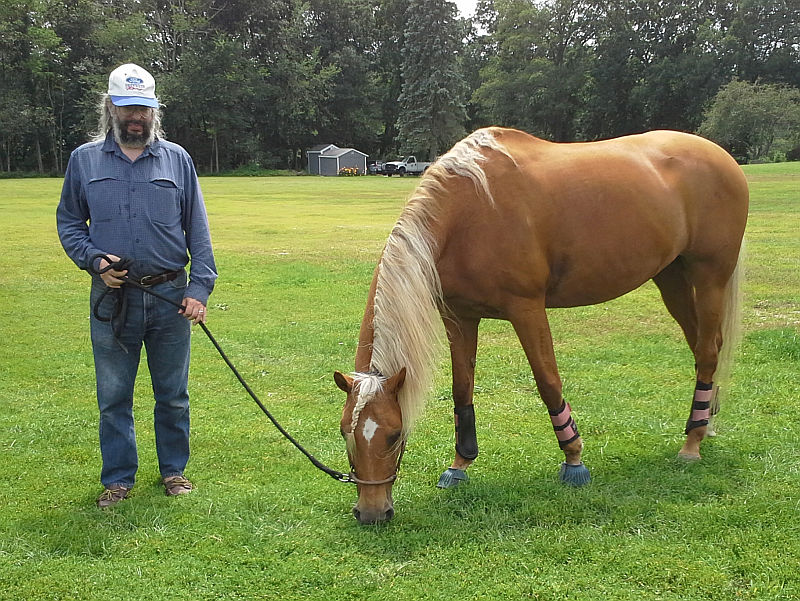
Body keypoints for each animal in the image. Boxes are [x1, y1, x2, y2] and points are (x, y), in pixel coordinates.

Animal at [334, 127, 748, 525]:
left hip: (709, 276)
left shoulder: (527, 309)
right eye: (344, 432)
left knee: (708, 352)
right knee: (704, 346)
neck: (469, 210)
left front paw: (574, 459)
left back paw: (692, 443)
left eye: (394, 435)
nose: (371, 512)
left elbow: (548, 382)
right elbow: (461, 390)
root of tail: (721, 156)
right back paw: (705, 421)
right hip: (671, 276)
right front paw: (460, 464)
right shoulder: (461, 317)